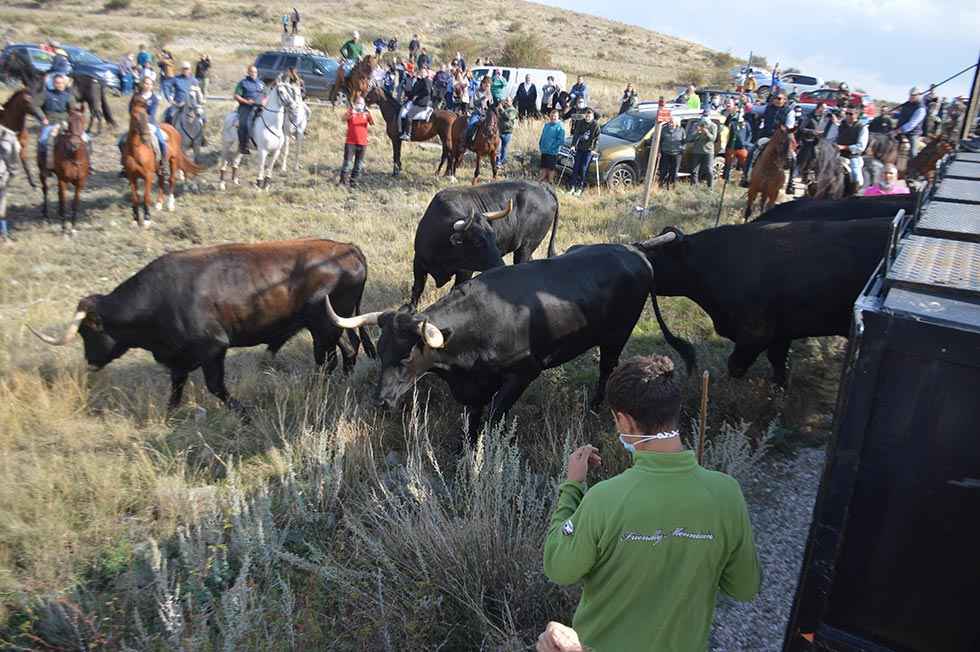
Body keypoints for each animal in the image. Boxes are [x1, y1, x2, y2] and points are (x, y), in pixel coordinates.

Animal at [29, 239, 376, 410]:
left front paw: (243, 412)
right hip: (329, 325)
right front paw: (170, 415)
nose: (90, 361)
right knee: (348, 350)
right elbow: (176, 388)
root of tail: (349, 249)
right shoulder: (178, 359)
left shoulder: (213, 349)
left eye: (91, 330)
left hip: (324, 328)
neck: (160, 299)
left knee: (331, 358)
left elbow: (216, 387)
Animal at [330, 234, 696, 438]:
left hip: (617, 334)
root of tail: (632, 249)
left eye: (407, 356)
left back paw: (594, 406)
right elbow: (471, 422)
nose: (381, 401)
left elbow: (493, 418)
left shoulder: (523, 373)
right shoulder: (472, 388)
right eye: (380, 350)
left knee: (607, 368)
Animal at [408, 180, 560, 310]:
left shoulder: (465, 271)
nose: (501, 266)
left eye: (493, 236)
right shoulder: (419, 262)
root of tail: (543, 186)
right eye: (477, 242)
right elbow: (417, 289)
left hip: (526, 247)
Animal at [648, 216, 892, 384]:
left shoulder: (756, 333)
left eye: (656, 257)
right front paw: (778, 391)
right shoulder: (781, 332)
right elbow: (778, 361)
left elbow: (735, 365)